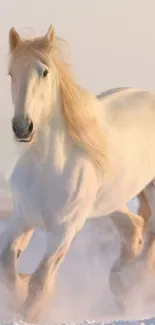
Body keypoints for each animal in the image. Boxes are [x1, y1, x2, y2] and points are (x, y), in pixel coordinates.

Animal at [2, 24, 155, 320]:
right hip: (112, 200)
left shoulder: (64, 230)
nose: (23, 127)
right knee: (133, 227)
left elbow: (40, 280)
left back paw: (132, 282)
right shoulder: (22, 217)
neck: (46, 168)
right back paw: (120, 283)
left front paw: (27, 313)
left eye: (44, 72)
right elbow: (7, 265)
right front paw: (17, 297)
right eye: (11, 73)